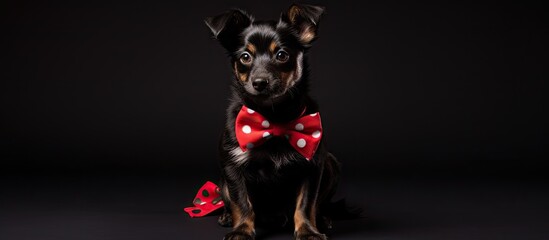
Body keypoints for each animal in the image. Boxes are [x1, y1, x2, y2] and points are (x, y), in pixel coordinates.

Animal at [203, 3, 340, 240]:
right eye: (245, 57)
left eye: (282, 55)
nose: (259, 82)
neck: (273, 117)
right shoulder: (233, 166)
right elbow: (241, 202)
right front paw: (241, 230)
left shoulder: (313, 165)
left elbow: (306, 204)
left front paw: (308, 230)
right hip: (222, 181)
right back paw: (227, 217)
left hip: (331, 164)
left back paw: (323, 219)